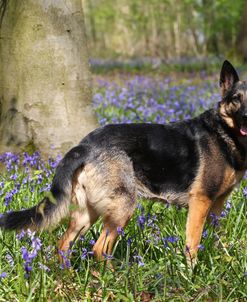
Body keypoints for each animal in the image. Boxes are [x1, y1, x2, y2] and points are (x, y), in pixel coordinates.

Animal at [0, 60, 247, 264]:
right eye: (237, 98)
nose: (245, 116)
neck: (224, 133)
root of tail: (85, 145)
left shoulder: (216, 206)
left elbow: (215, 239)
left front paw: (220, 263)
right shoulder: (200, 202)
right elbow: (193, 244)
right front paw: (191, 274)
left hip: (87, 213)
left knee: (63, 245)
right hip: (122, 208)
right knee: (99, 249)